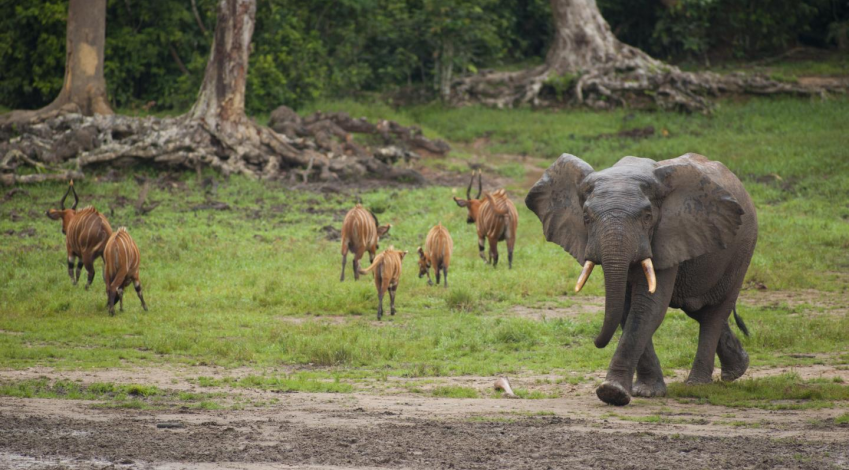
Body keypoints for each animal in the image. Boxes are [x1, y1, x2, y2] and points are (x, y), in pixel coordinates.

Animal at [528, 152, 760, 406]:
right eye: (586, 218)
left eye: (648, 217)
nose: (596, 342)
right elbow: (627, 306)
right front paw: (645, 391)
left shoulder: (666, 236)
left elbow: (647, 307)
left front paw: (612, 392)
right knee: (698, 309)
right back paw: (737, 370)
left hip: (743, 250)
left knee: (714, 313)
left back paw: (698, 384)